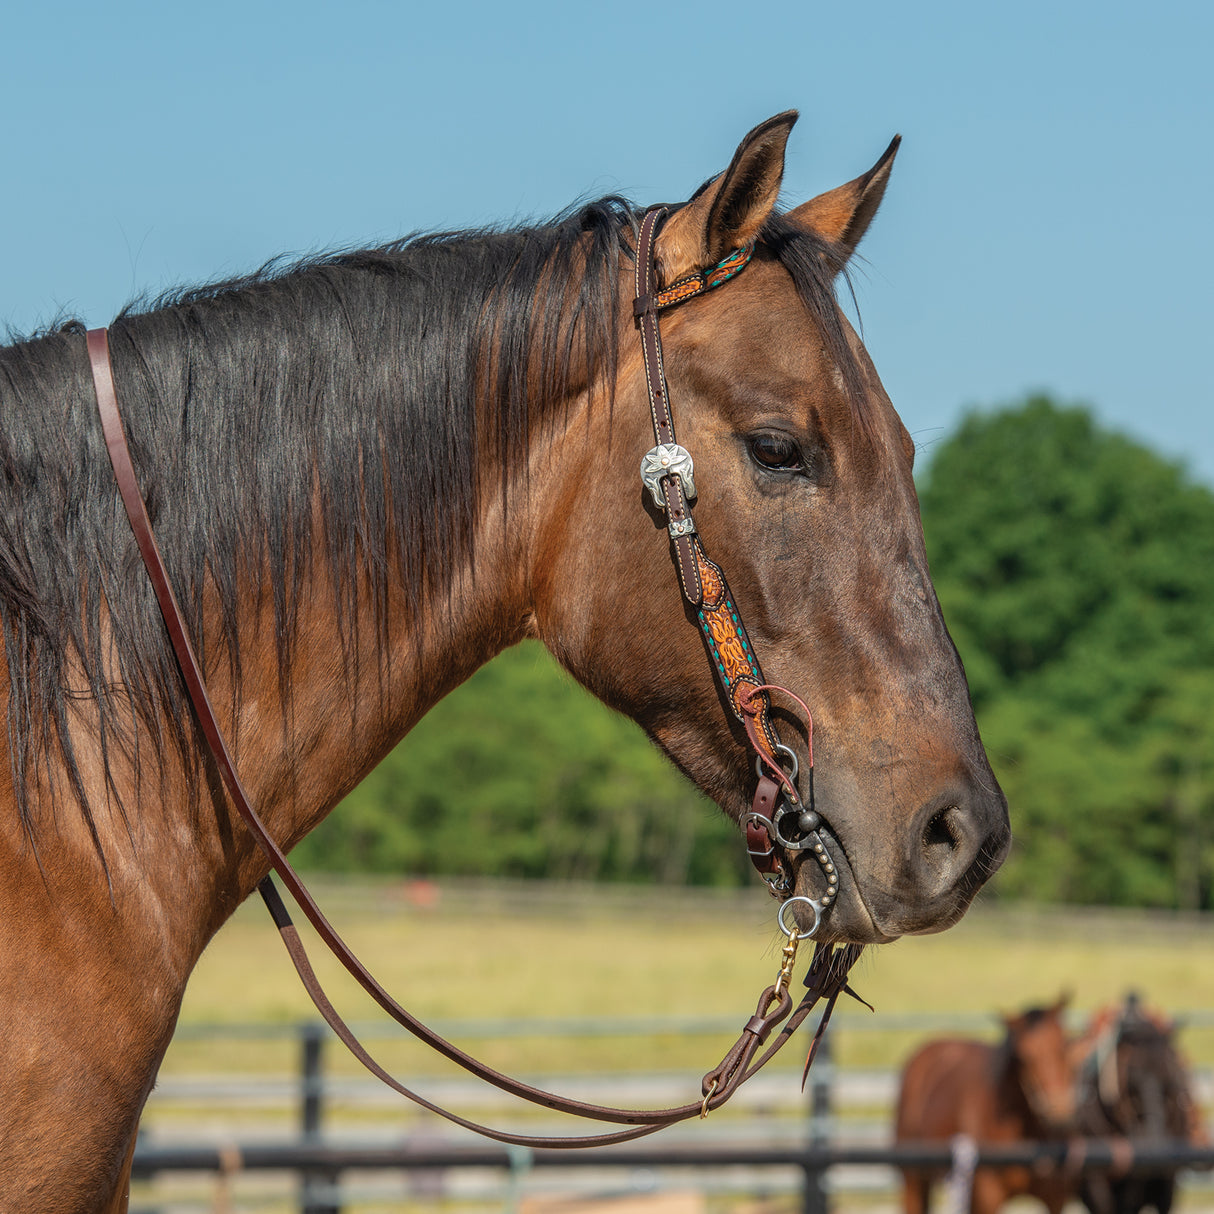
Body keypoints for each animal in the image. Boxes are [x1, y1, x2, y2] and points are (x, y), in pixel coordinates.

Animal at [893, 995, 1073, 1214]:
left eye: (1064, 1045)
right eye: (1023, 1056)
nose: (1059, 1109)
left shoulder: (1055, 1201)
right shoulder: (987, 1198)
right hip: (914, 1182)